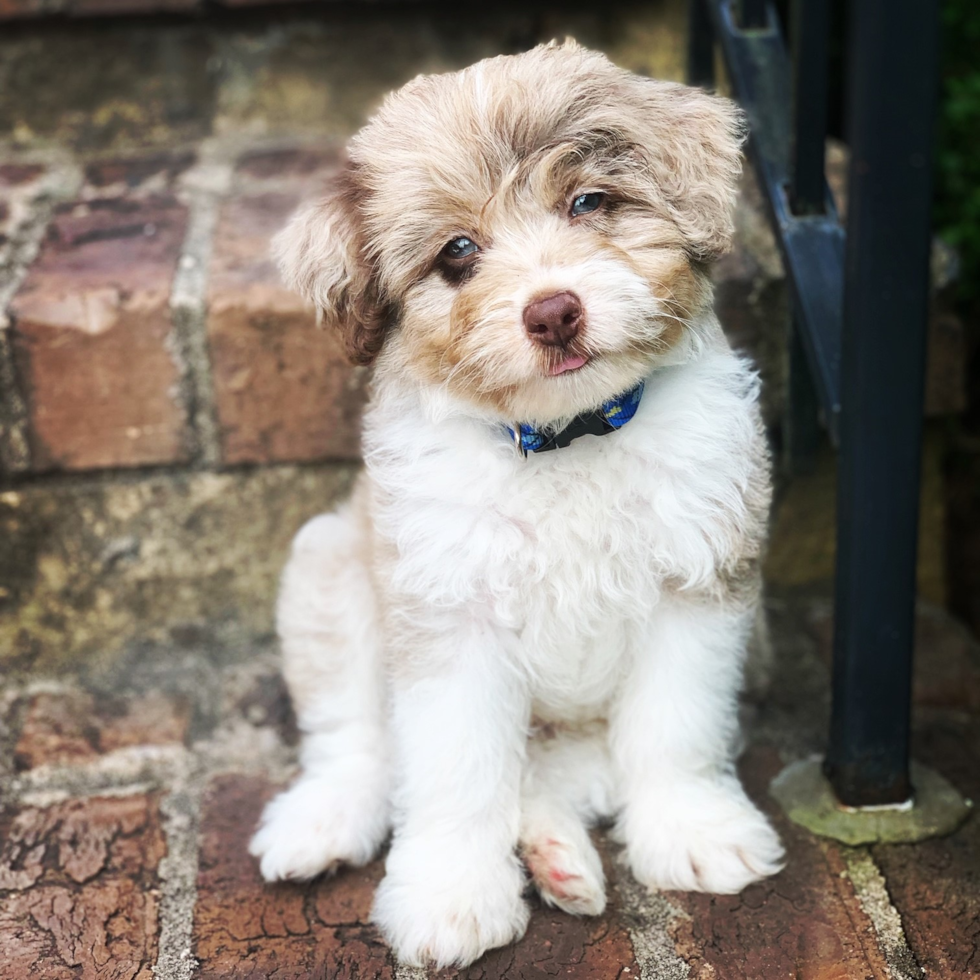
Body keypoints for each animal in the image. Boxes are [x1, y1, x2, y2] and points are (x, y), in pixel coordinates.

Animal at [249, 42, 784, 968]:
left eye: (589, 202)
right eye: (457, 252)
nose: (554, 311)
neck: (568, 438)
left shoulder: (699, 582)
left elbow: (676, 728)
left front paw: (694, 831)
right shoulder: (445, 606)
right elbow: (456, 767)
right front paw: (450, 897)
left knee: (558, 772)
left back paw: (557, 859)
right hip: (327, 568)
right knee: (358, 740)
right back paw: (323, 822)